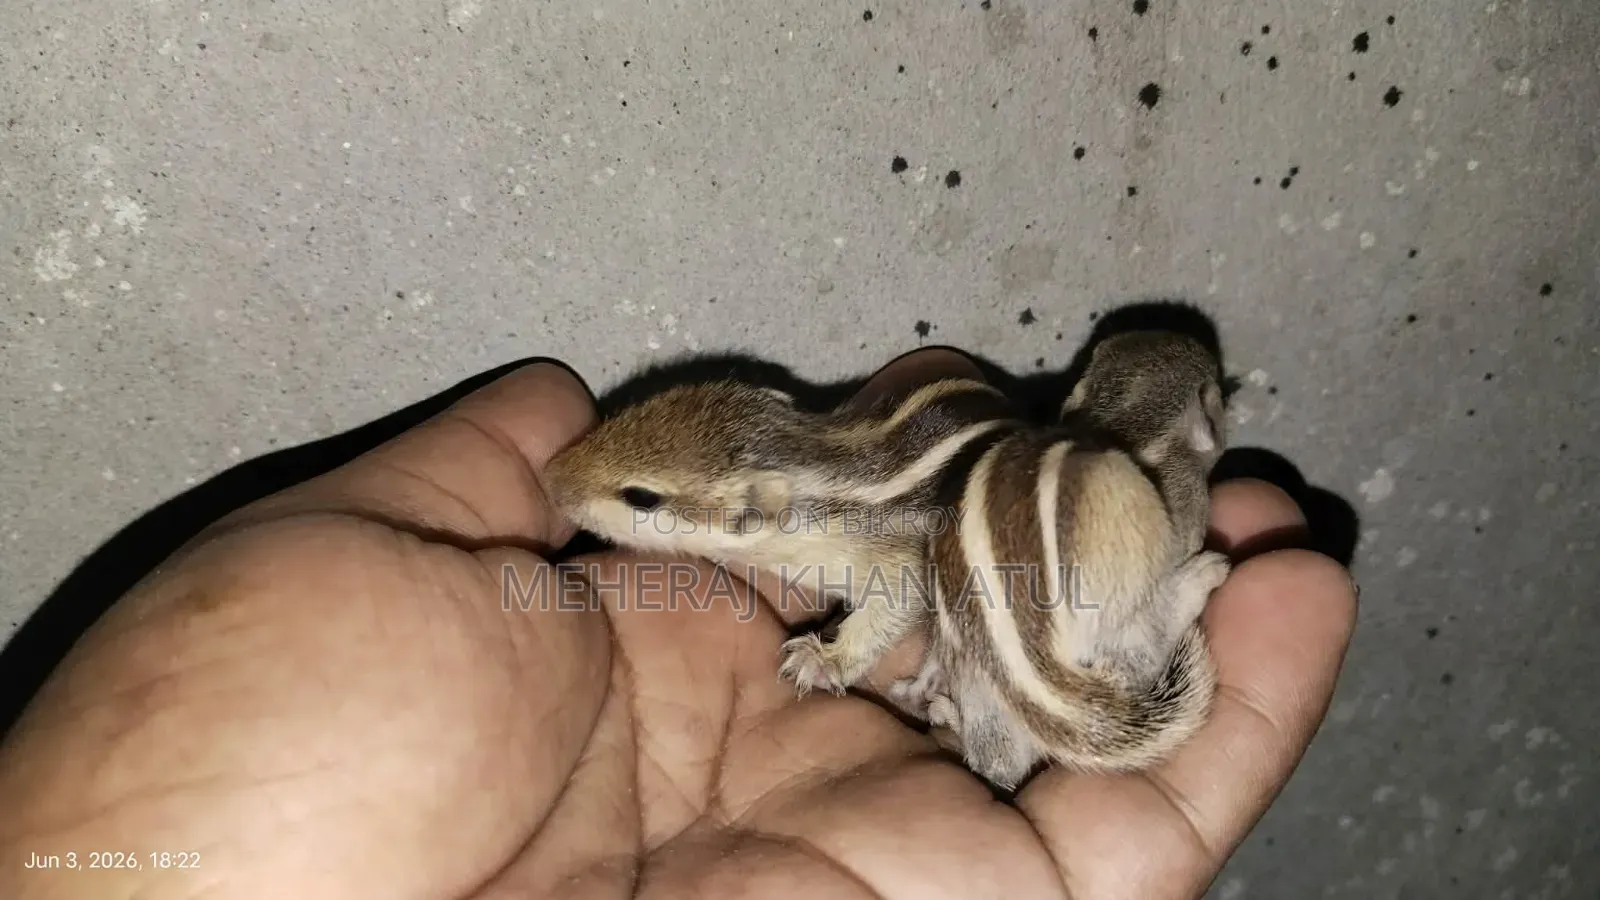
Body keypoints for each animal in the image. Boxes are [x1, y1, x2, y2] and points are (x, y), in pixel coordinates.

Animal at [542, 330, 1230, 789]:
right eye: (634, 411)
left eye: (641, 496)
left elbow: (894, 606)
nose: (551, 477)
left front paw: (824, 659)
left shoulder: (900, 561)